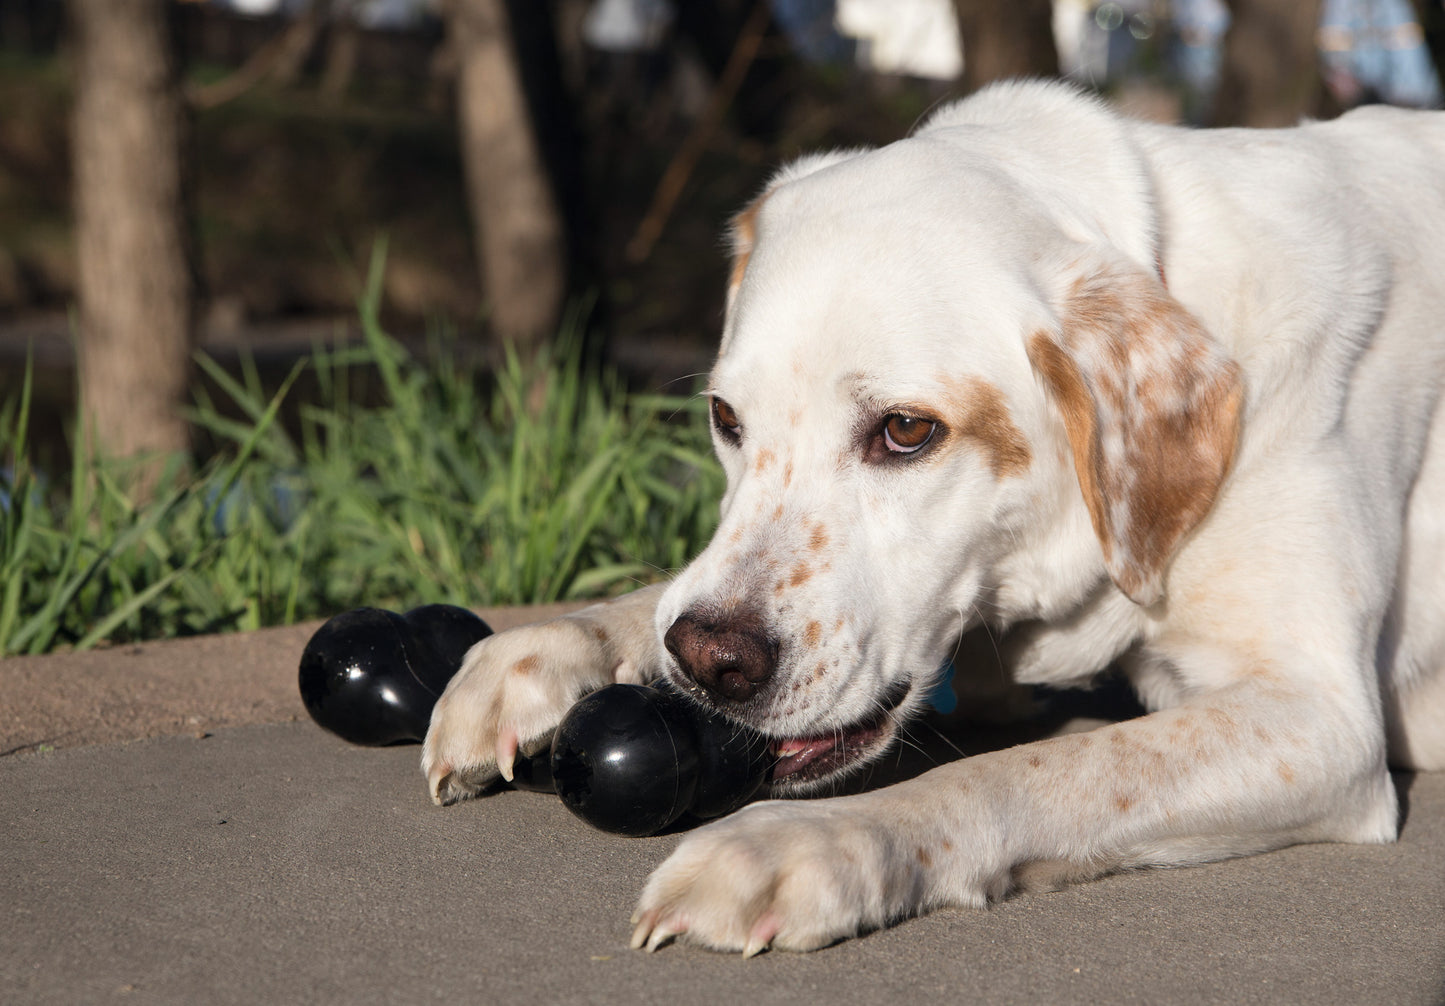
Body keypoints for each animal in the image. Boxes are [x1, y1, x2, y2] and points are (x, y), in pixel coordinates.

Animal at [421, 82, 1445, 953]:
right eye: (724, 418)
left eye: (907, 431)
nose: (711, 664)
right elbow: (658, 596)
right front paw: (544, 649)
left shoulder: (1318, 717)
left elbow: (1036, 769)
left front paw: (809, 843)